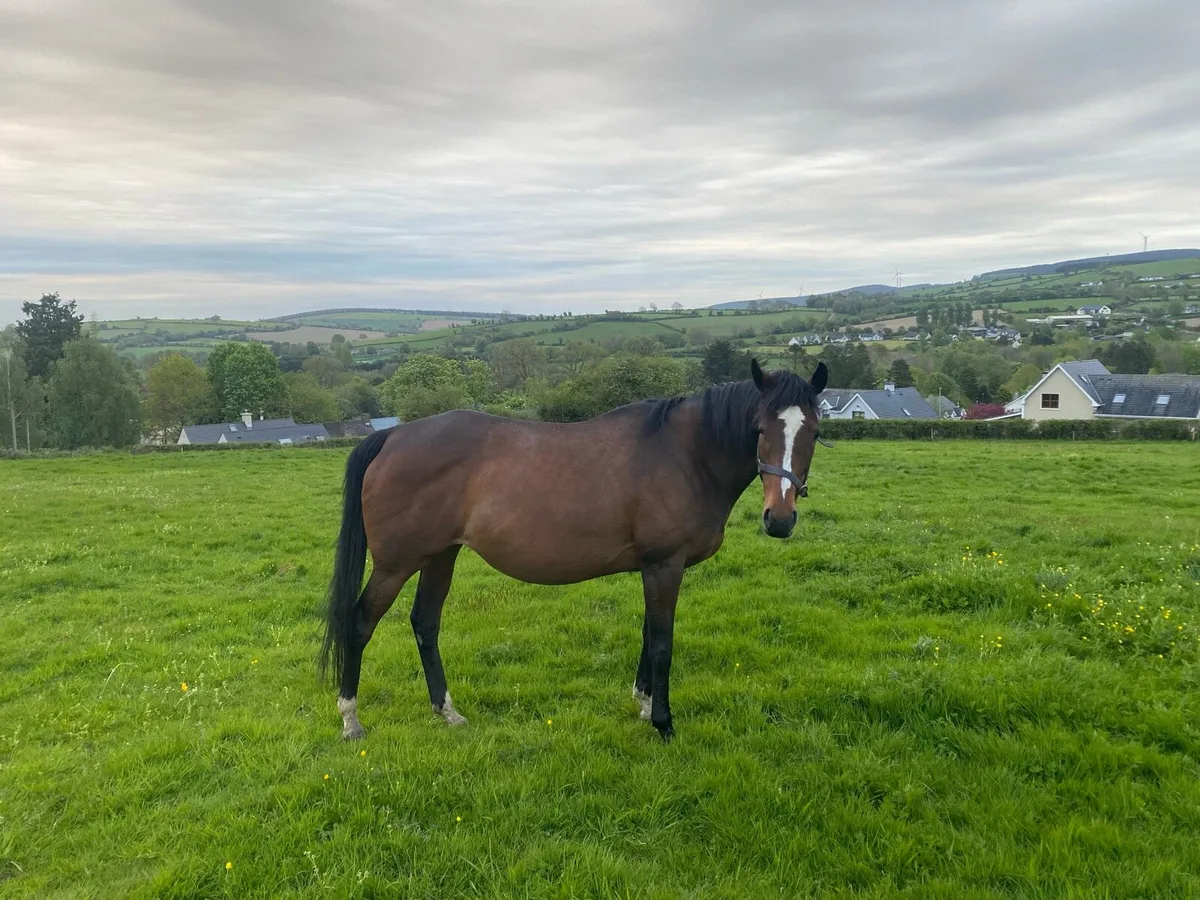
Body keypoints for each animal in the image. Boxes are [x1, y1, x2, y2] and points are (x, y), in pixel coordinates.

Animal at [319, 358, 829, 742]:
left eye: (814, 432)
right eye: (760, 428)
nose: (780, 519)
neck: (686, 454)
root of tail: (393, 436)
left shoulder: (655, 568)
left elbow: (647, 634)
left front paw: (644, 705)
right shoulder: (665, 565)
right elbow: (662, 642)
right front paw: (663, 723)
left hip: (441, 555)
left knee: (425, 623)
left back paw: (447, 712)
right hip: (396, 563)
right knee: (360, 623)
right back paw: (350, 719)